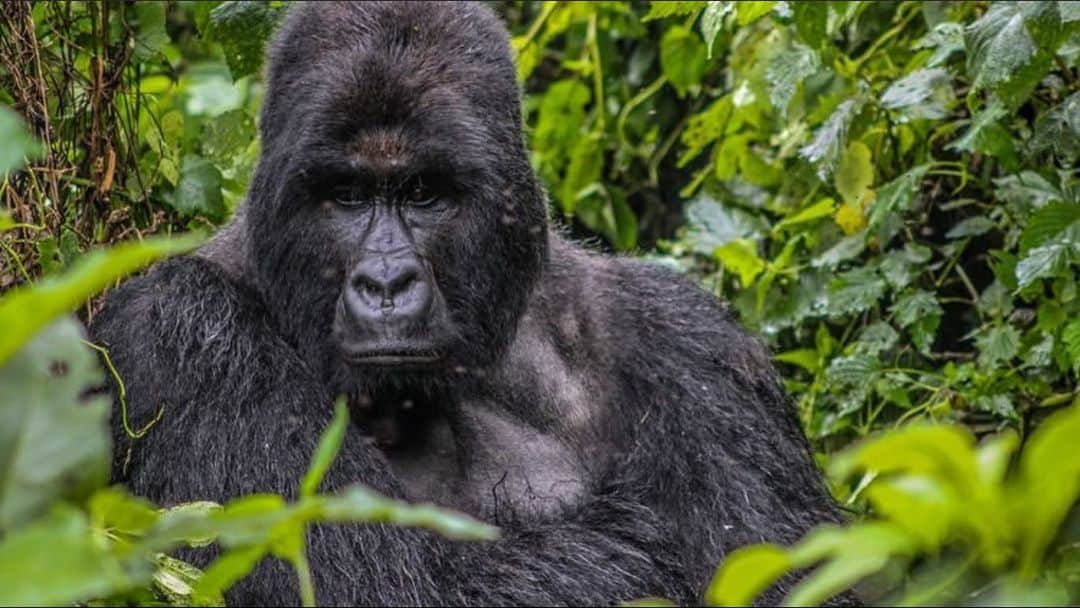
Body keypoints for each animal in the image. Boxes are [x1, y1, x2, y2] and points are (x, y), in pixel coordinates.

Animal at [90, 2, 842, 604]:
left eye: (424, 193)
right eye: (347, 195)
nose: (386, 284)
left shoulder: (692, 345)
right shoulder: (182, 330)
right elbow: (380, 584)